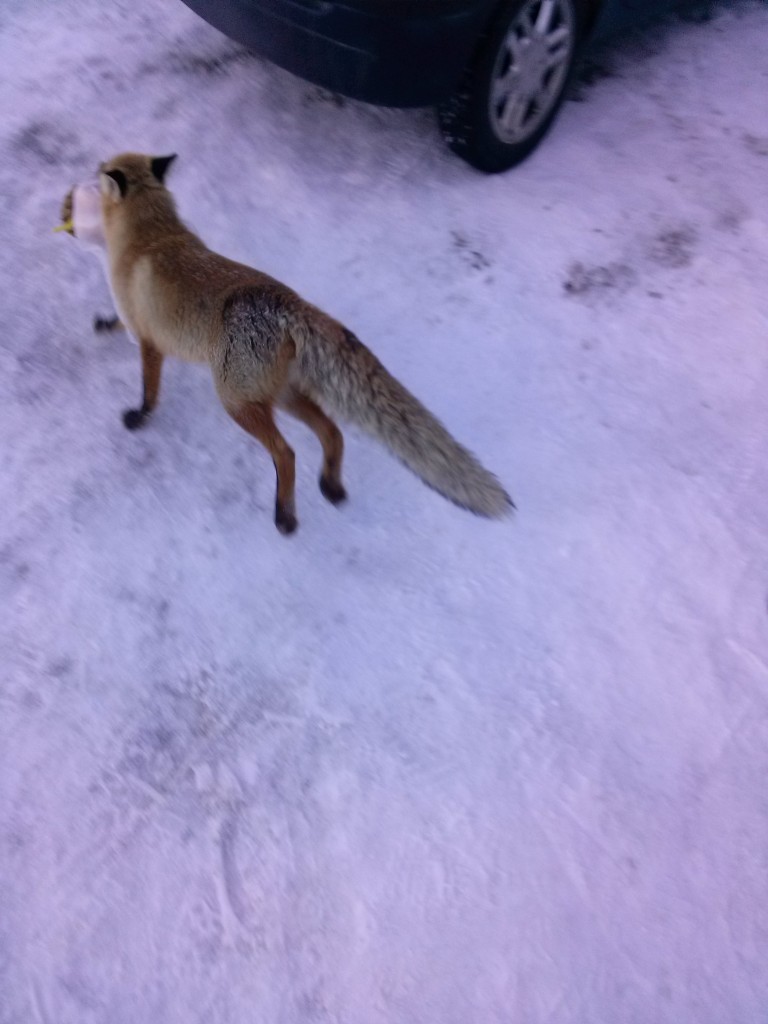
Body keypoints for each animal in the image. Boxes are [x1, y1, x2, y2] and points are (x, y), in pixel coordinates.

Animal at [64, 151, 512, 536]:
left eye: (100, 171)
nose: (83, 179)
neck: (150, 235)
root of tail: (291, 303)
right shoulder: (141, 325)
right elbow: (117, 326)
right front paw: (103, 324)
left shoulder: (149, 341)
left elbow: (149, 390)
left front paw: (139, 418)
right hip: (283, 395)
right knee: (333, 431)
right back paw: (330, 487)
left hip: (238, 402)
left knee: (287, 453)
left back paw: (285, 516)